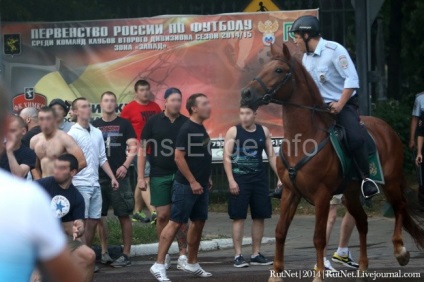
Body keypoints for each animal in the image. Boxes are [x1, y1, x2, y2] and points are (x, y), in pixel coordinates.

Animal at [240, 44, 424, 282]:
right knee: (363, 222)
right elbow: (280, 231)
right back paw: (362, 269)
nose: (246, 94)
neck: (303, 139)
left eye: (279, 70)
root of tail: (386, 128)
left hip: (390, 183)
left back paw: (400, 250)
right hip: (351, 194)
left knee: (399, 207)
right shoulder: (291, 192)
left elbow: (319, 237)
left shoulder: (322, 195)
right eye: (263, 67)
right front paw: (276, 274)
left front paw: (318, 275)